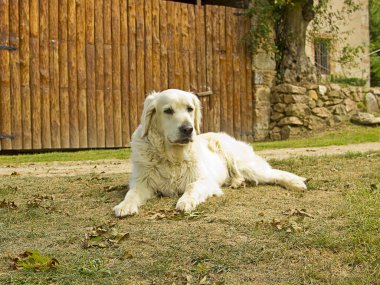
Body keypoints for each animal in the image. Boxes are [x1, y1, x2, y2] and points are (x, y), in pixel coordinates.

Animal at [112, 87, 306, 216]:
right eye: (167, 110)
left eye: (190, 109)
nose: (188, 129)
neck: (172, 156)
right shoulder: (142, 182)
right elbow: (132, 193)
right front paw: (125, 206)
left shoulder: (205, 179)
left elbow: (192, 186)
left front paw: (186, 201)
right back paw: (237, 182)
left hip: (244, 164)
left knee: (274, 173)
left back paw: (296, 182)